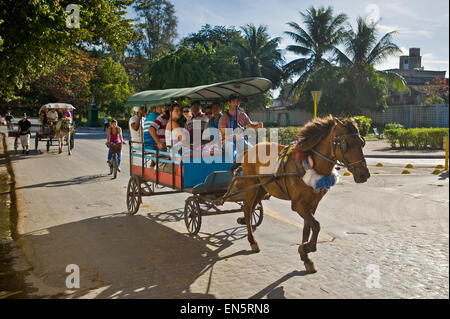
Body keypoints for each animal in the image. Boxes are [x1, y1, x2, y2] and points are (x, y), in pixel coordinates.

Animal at [239, 116, 370, 274]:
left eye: (362, 143)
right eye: (348, 144)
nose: (364, 175)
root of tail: (251, 148)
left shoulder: (312, 204)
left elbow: (308, 227)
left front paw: (305, 257)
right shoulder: (298, 205)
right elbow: (316, 225)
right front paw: (306, 247)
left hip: (262, 188)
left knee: (252, 208)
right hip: (251, 187)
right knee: (247, 210)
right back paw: (252, 241)